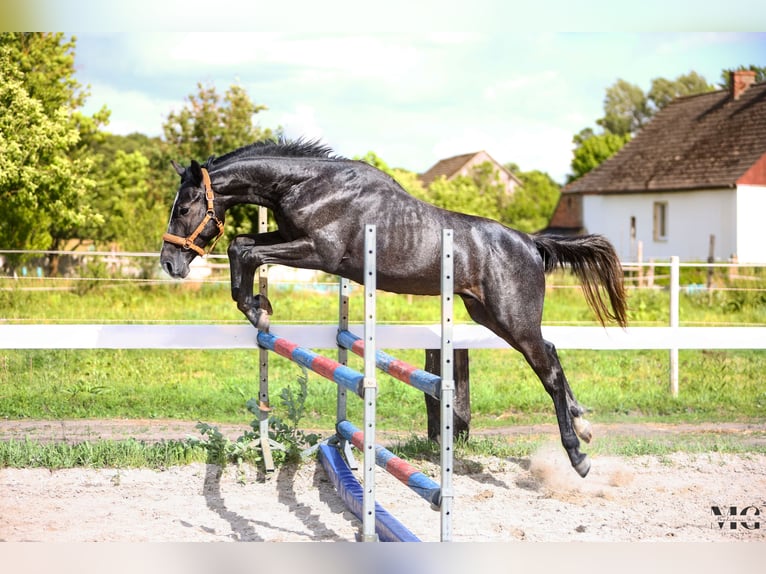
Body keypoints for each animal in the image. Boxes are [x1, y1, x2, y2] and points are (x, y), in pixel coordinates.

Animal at [160, 139, 628, 478]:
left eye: (184, 207)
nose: (169, 263)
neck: (307, 185)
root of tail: (531, 243)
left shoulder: (319, 252)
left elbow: (245, 251)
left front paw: (257, 309)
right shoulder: (290, 238)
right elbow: (243, 244)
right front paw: (259, 305)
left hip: (513, 319)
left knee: (548, 370)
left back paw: (578, 456)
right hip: (490, 315)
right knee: (551, 353)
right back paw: (583, 426)